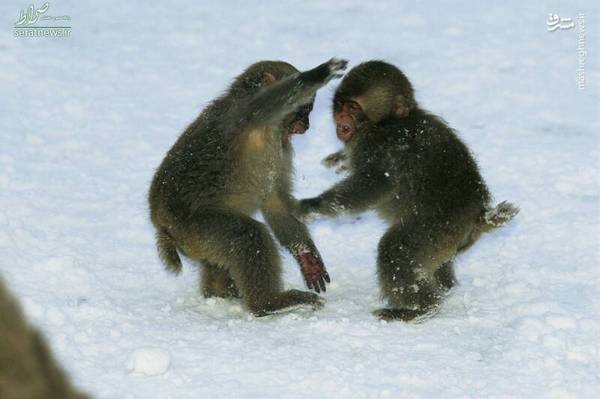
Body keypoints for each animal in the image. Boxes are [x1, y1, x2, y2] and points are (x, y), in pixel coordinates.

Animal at [148, 57, 350, 318]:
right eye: (304, 109)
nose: (305, 125)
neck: (270, 129)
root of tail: (160, 224)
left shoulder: (281, 145)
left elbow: (274, 202)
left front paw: (306, 256)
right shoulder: (245, 113)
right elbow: (271, 100)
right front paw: (319, 73)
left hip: (196, 241)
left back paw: (223, 294)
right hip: (192, 228)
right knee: (247, 235)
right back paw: (268, 304)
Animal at [298, 60, 516, 322]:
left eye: (352, 107)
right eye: (340, 105)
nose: (340, 116)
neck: (387, 121)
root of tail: (479, 216)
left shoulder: (377, 145)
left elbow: (372, 185)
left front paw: (312, 206)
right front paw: (340, 160)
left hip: (439, 228)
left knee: (395, 249)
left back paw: (420, 309)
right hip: (448, 241)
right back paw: (444, 289)